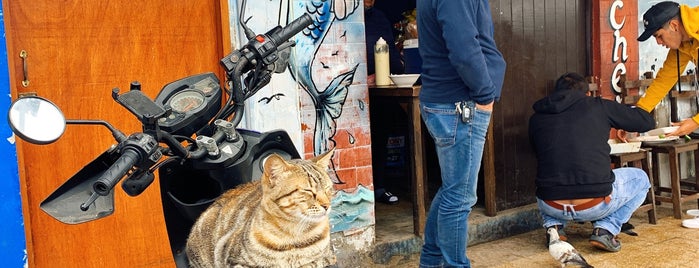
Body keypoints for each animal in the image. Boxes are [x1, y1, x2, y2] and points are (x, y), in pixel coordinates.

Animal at [186, 150, 340, 266]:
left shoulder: (326, 258)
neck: (294, 236)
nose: (327, 205)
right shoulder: (233, 259)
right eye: (308, 191)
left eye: (328, 189)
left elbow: (313, 262)